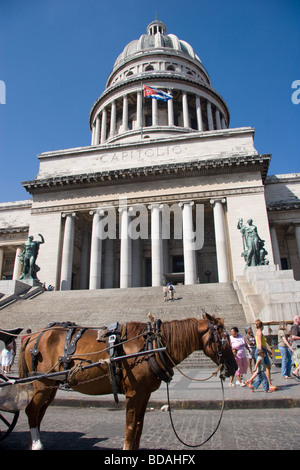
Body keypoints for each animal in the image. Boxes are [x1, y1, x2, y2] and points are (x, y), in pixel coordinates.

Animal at [18, 314, 237, 450]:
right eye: (223, 338)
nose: (234, 367)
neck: (151, 345)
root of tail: (33, 335)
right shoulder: (134, 393)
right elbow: (130, 428)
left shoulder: (144, 394)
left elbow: (139, 427)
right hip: (42, 383)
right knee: (31, 410)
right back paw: (36, 444)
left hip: (51, 385)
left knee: (39, 412)